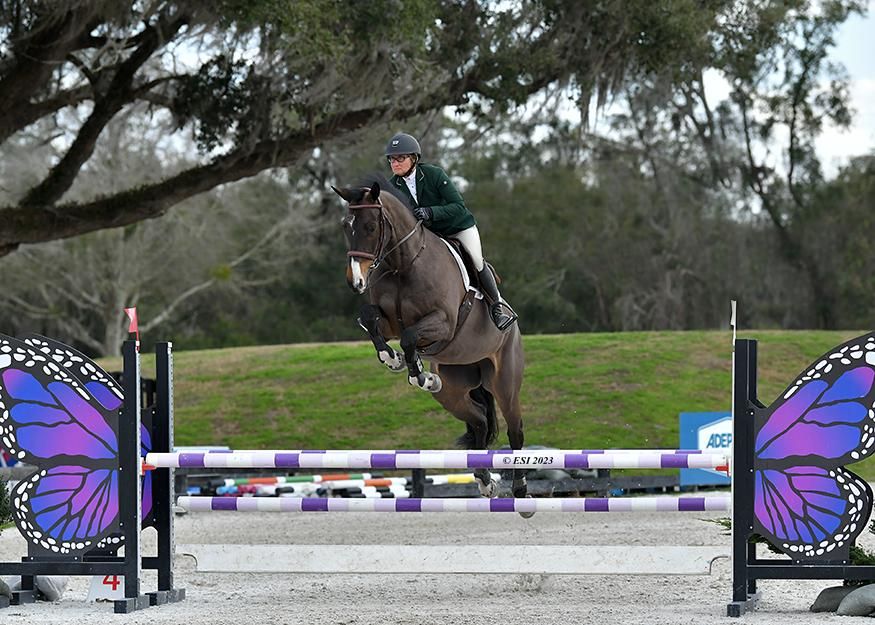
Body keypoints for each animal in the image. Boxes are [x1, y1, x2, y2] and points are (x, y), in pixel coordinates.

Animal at [334, 174, 528, 502]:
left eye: (371, 227)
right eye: (346, 226)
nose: (355, 282)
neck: (404, 263)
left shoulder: (443, 323)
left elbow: (410, 337)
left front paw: (418, 374)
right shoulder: (388, 323)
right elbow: (370, 319)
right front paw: (393, 359)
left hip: (505, 382)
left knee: (515, 430)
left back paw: (521, 490)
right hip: (452, 390)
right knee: (478, 419)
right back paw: (485, 481)